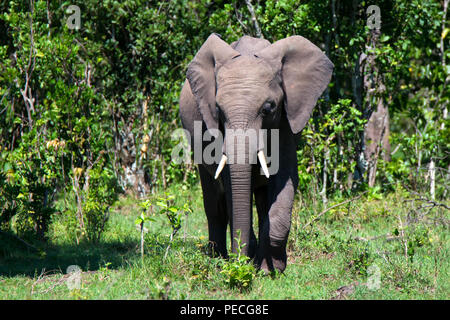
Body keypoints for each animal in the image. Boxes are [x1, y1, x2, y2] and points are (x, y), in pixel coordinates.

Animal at [179, 33, 334, 272]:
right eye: (218, 110)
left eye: (268, 109)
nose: (239, 262)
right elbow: (232, 189)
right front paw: (246, 263)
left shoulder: (285, 121)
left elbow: (285, 179)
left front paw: (271, 269)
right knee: (215, 202)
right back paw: (217, 259)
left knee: (260, 203)